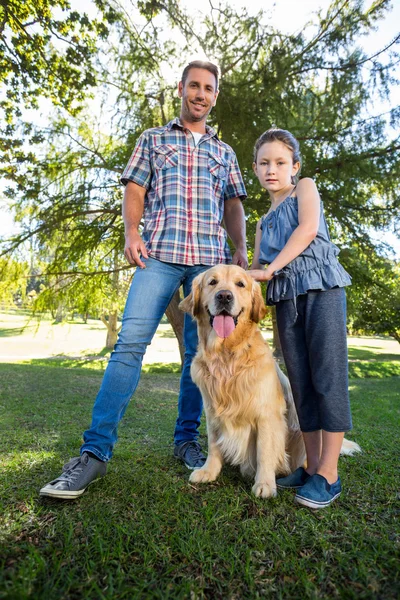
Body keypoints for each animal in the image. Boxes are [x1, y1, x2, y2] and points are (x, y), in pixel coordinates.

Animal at [180, 264, 360, 500]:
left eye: (240, 284)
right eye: (212, 282)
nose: (224, 296)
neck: (227, 354)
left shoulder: (267, 415)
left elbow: (264, 451)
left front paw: (265, 484)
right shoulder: (212, 411)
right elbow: (213, 444)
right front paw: (209, 471)